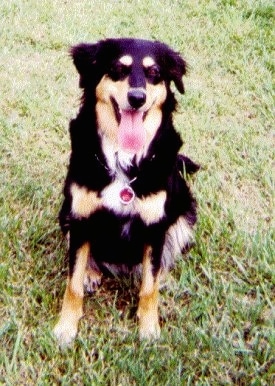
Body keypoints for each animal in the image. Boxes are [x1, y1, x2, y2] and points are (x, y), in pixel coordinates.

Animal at [54, 37, 199, 346]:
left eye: (154, 72)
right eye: (118, 68)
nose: (137, 98)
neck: (125, 159)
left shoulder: (155, 226)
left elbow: (149, 287)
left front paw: (149, 329)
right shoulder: (81, 217)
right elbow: (73, 283)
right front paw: (65, 328)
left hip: (184, 215)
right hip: (65, 213)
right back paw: (91, 272)